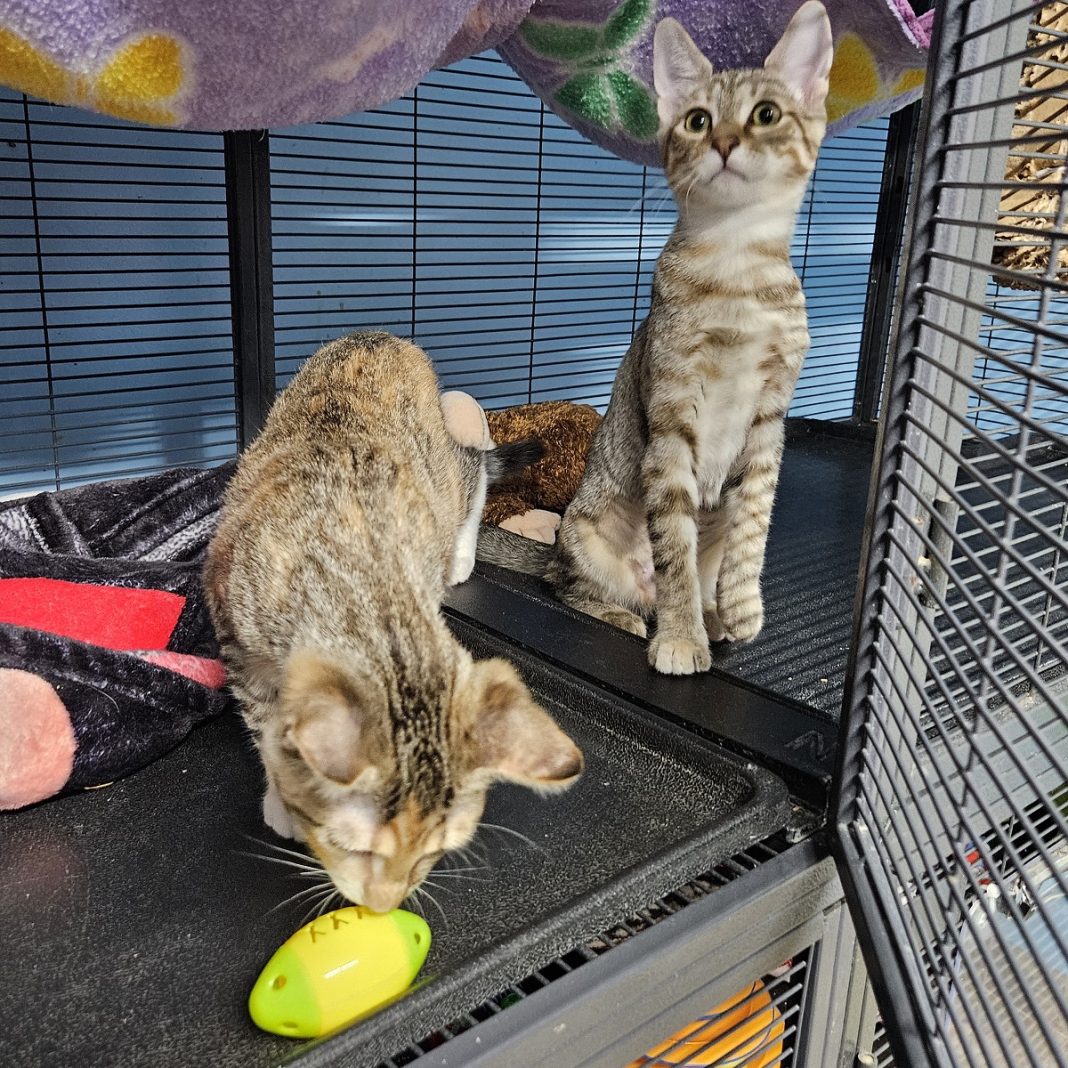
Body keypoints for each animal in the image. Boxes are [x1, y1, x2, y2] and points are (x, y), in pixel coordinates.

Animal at [202, 331, 580, 909]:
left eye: (434, 853)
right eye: (353, 847)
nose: (384, 905)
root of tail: (383, 336)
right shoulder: (236, 637)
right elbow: (263, 722)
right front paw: (282, 794)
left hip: (437, 468)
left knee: (469, 470)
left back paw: (461, 554)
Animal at [478, 2, 833, 674]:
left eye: (766, 115)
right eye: (697, 121)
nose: (723, 142)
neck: (737, 272)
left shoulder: (770, 418)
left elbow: (754, 521)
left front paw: (742, 607)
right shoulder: (672, 411)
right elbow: (675, 550)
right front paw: (680, 637)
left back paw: (715, 615)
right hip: (585, 539)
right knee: (571, 588)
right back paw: (631, 616)